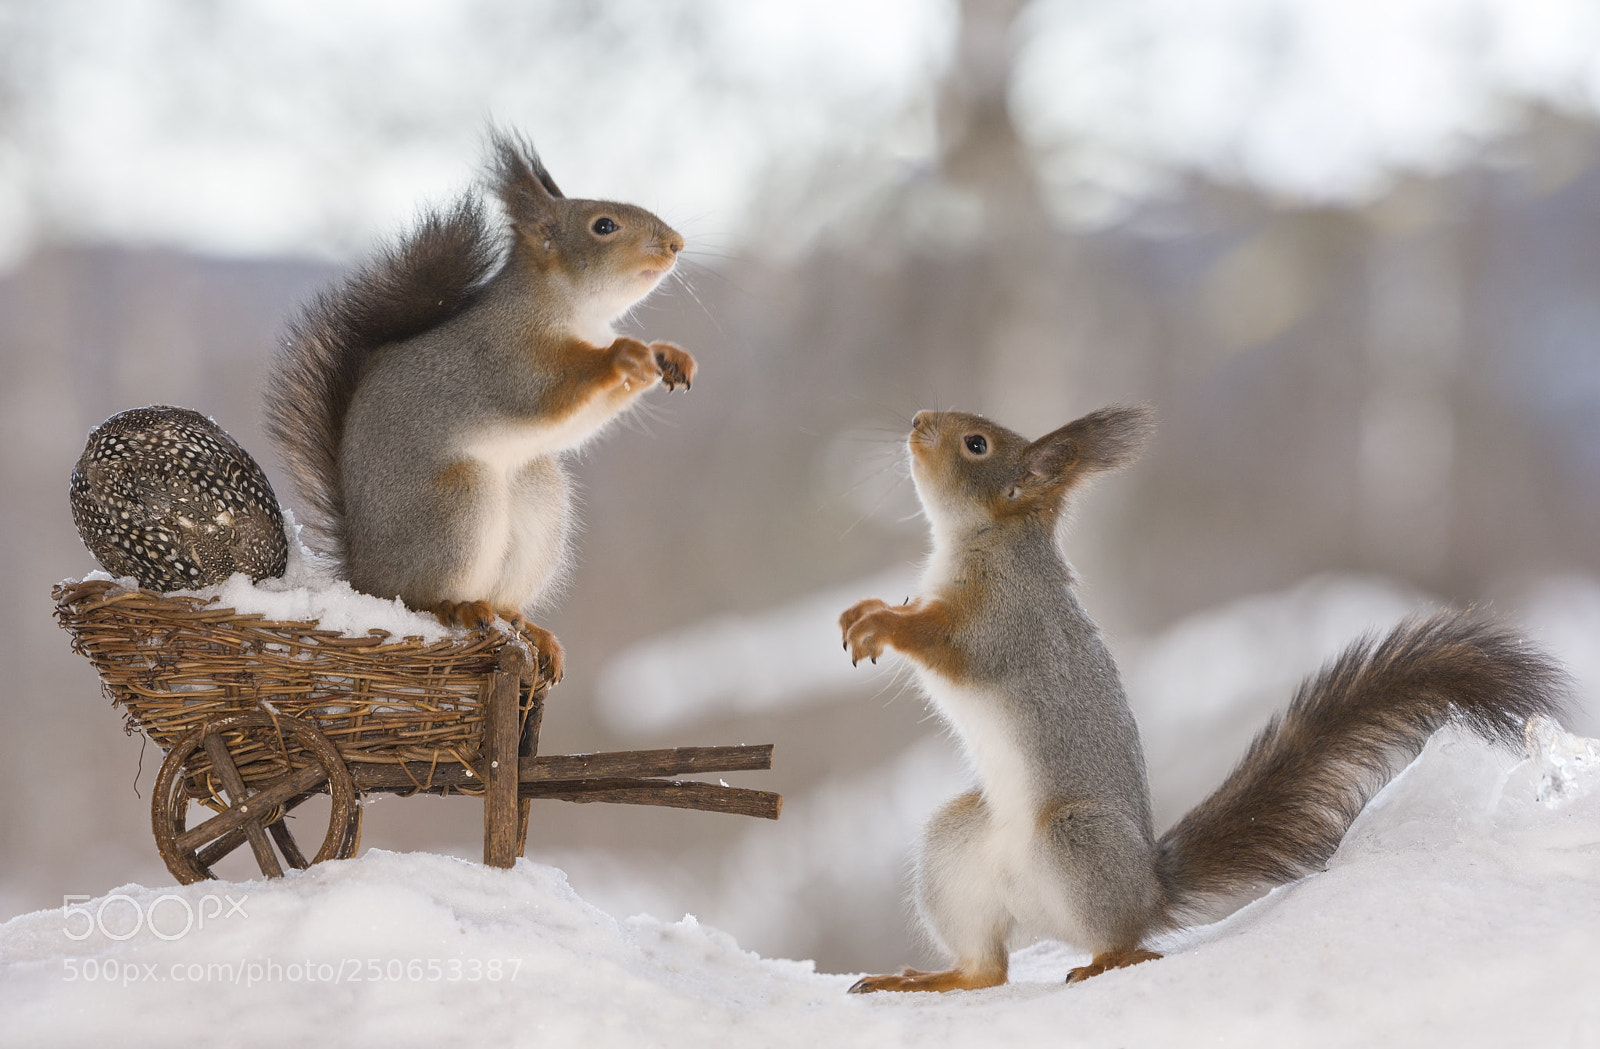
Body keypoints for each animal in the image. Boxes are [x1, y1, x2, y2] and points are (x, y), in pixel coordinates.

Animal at [266, 129, 694, 680]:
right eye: (604, 226)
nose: (676, 244)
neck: (577, 314)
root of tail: (362, 575)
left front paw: (667, 356)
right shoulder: (504, 356)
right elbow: (545, 391)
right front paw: (622, 355)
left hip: (538, 497)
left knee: (505, 600)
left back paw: (527, 625)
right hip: (455, 504)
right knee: (418, 597)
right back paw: (456, 605)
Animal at [839, 405, 1570, 993]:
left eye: (976, 444)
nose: (917, 419)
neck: (983, 540)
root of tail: (1149, 890)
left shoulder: (1006, 621)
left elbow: (952, 647)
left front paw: (885, 625)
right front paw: (865, 611)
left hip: (1077, 839)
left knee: (1124, 940)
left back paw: (1111, 960)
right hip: (955, 855)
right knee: (987, 969)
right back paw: (925, 979)